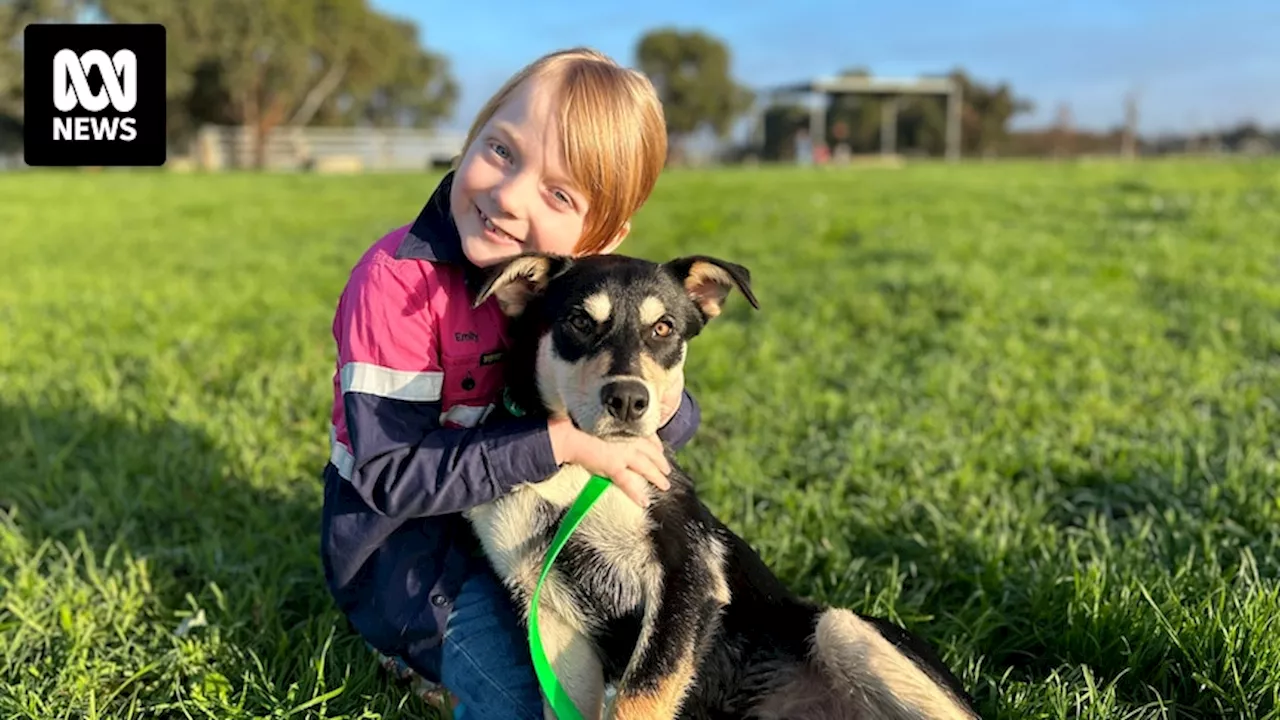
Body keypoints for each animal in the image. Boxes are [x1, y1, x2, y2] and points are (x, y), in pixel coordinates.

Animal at [468, 252, 977, 717]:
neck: (580, 473)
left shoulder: (688, 573)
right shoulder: (549, 611)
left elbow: (638, 697)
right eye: (579, 321)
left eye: (664, 328)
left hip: (841, 627)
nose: (628, 400)